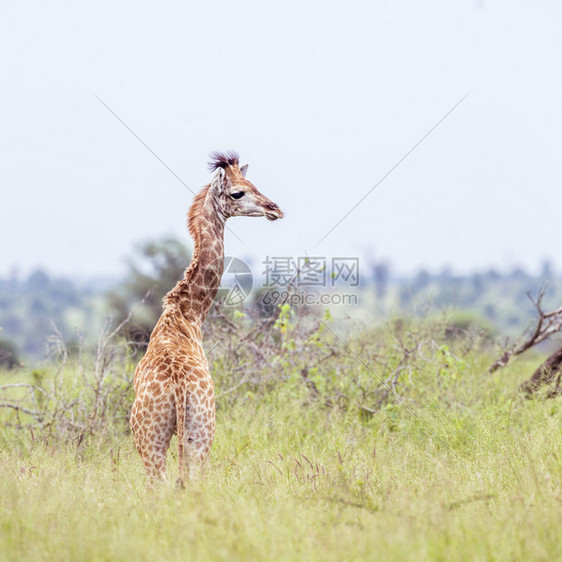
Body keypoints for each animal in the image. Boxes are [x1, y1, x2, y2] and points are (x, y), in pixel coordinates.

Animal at [129, 152, 282, 482]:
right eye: (238, 192)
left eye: (252, 183)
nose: (274, 209)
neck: (187, 313)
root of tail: (178, 388)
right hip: (193, 432)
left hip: (168, 437)